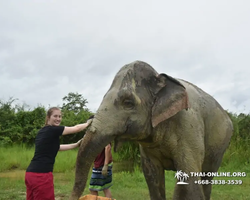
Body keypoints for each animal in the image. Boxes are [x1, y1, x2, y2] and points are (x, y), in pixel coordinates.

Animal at [70, 60, 232, 200]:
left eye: (128, 103)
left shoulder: (188, 124)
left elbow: (188, 180)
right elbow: (152, 176)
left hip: (220, 145)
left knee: (206, 176)